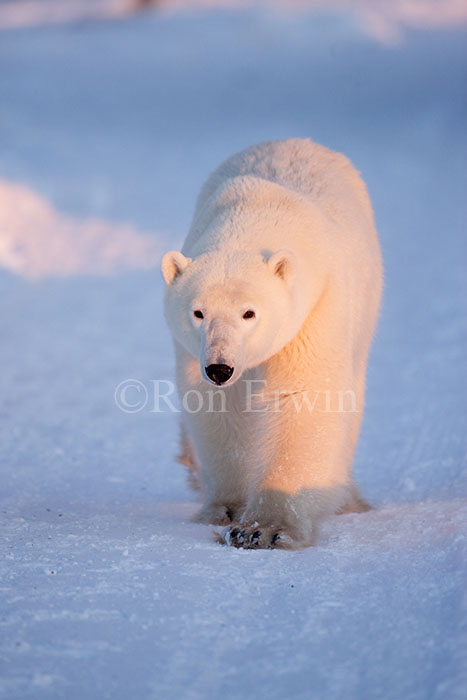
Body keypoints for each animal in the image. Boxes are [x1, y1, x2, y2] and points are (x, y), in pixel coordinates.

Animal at [161, 138, 382, 549]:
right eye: (198, 312)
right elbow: (221, 407)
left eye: (249, 313)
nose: (220, 368)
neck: (256, 213)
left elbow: (303, 398)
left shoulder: (314, 309)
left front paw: (263, 529)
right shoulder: (192, 350)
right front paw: (226, 510)